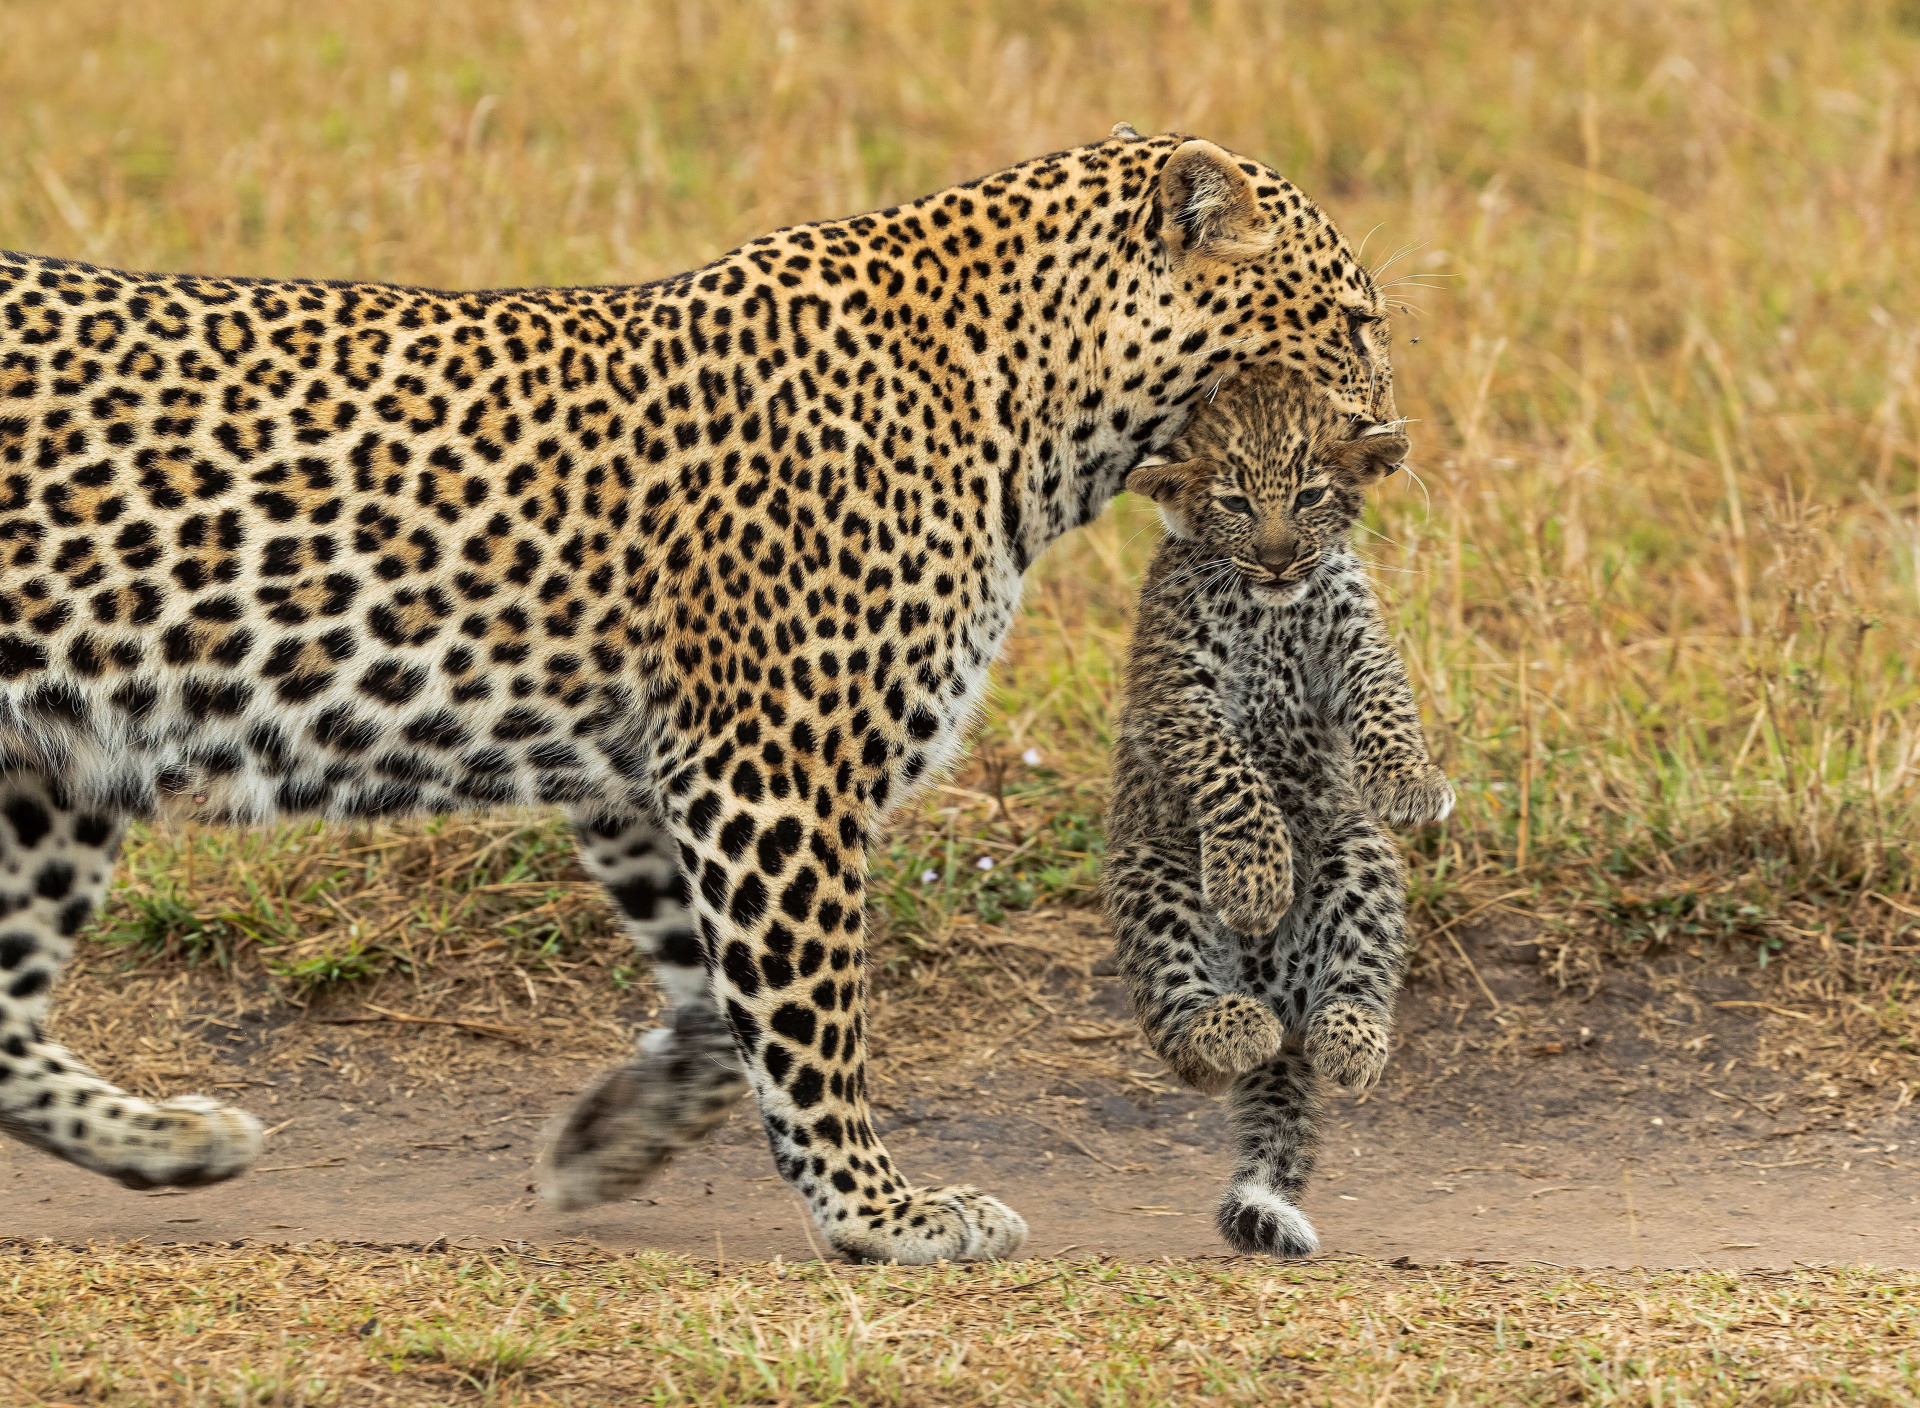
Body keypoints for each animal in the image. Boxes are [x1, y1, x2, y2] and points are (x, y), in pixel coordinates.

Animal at [7, 123, 1405, 1260]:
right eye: (1350, 324)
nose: (1395, 438)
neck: (1043, 419)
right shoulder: (771, 767)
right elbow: (812, 1016)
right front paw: (881, 1215)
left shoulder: (651, 778)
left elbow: (720, 1012)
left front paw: (602, 1144)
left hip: (53, 778)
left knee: (6, 1013)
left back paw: (173, 1141)